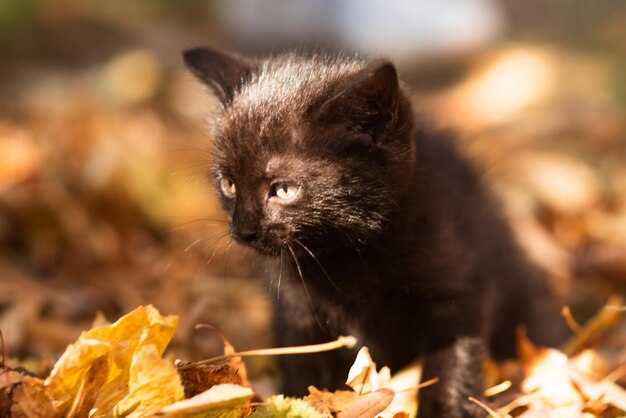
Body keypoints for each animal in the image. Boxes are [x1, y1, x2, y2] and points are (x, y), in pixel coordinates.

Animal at [183, 48, 564, 418]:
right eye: (229, 184)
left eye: (284, 189)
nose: (243, 230)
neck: (348, 252)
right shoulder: (298, 313)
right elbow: (303, 369)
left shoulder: (461, 289)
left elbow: (453, 363)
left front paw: (447, 407)